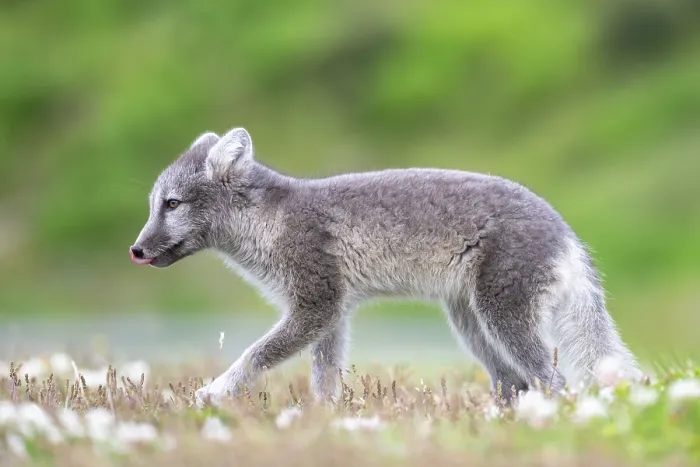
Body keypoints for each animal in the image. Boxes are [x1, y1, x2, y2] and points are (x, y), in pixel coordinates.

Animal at [130, 126, 642, 407]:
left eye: (172, 205)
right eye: (153, 205)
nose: (135, 250)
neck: (269, 221)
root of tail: (568, 235)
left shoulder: (316, 304)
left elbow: (254, 354)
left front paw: (213, 393)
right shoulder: (331, 314)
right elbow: (326, 378)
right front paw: (322, 422)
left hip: (502, 318)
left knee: (554, 381)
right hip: (471, 323)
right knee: (514, 382)